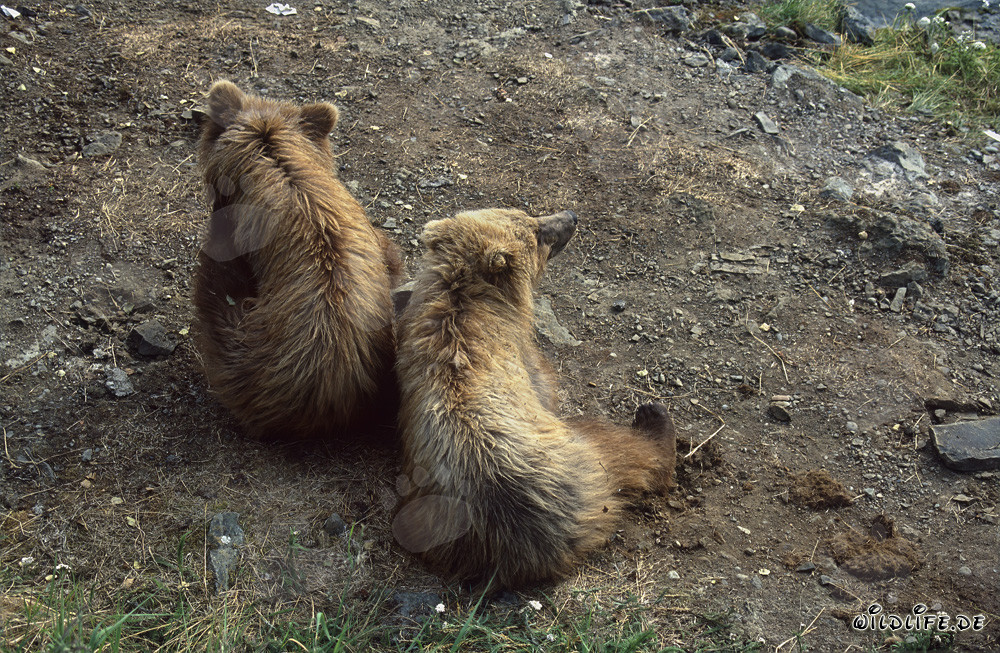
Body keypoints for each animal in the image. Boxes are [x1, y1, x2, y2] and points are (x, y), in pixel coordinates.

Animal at [392, 208, 676, 589]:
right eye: (537, 231)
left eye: (525, 213)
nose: (570, 216)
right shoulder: (522, 356)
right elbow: (545, 383)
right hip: (583, 461)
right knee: (628, 451)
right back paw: (652, 416)